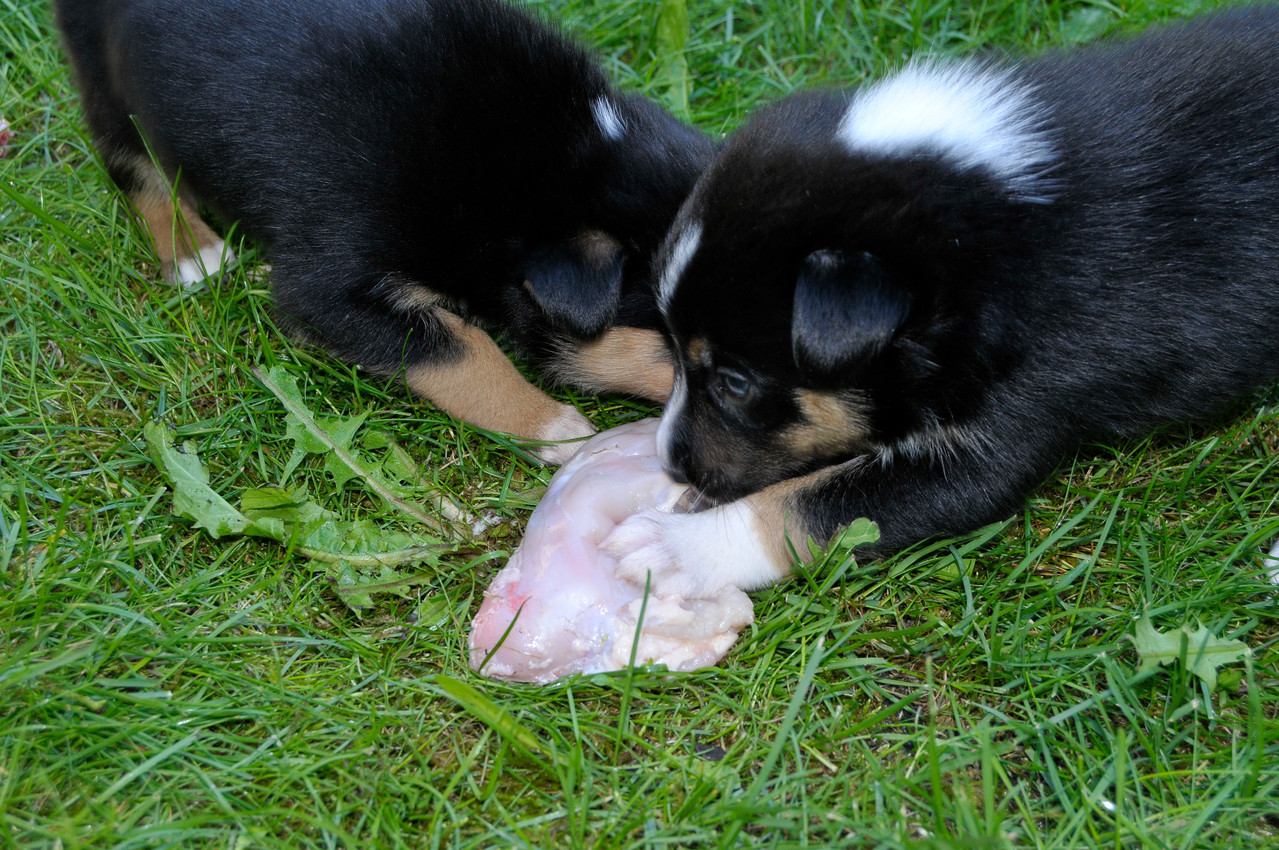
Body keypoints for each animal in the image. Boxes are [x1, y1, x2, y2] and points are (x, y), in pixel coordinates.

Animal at [54, 0, 711, 460]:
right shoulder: (331, 287)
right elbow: (465, 352)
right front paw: (554, 430)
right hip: (102, 70)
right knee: (132, 163)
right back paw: (194, 249)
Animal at [603, 8, 1279, 595]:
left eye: (736, 384)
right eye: (674, 348)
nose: (669, 462)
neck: (982, 228)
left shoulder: (999, 431)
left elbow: (808, 507)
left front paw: (673, 549)